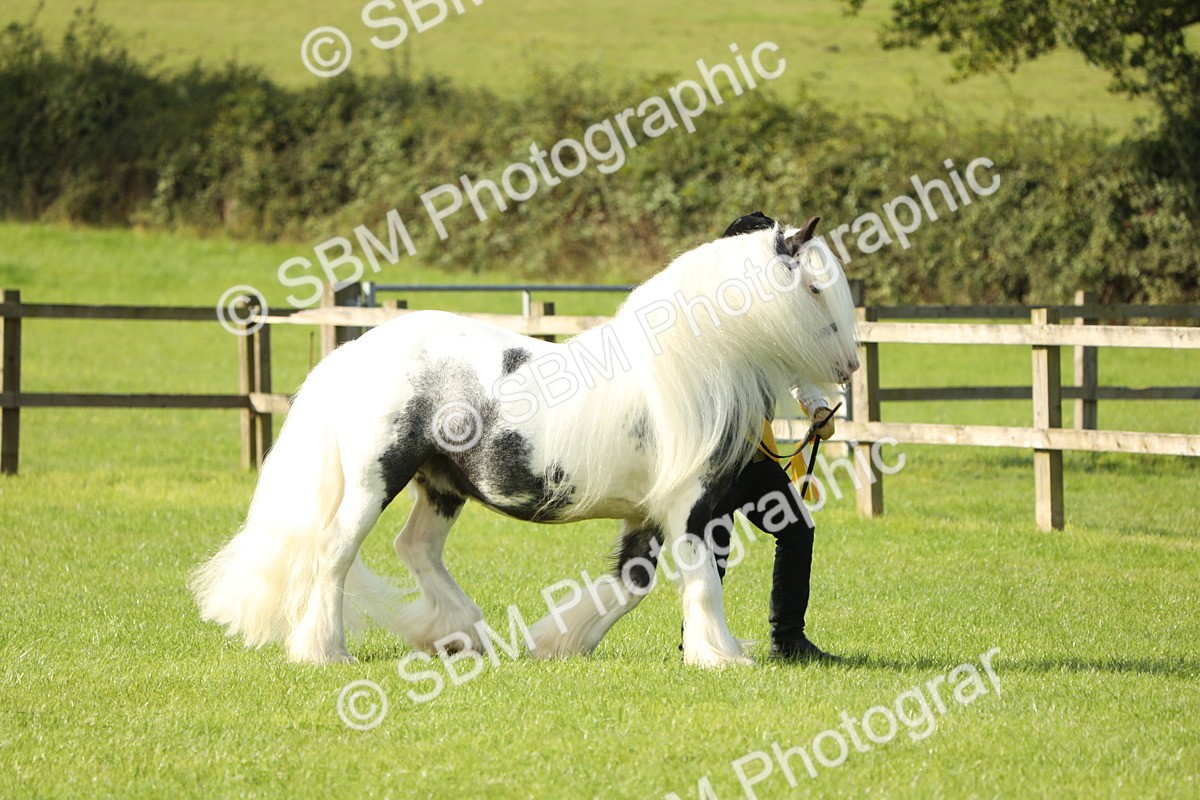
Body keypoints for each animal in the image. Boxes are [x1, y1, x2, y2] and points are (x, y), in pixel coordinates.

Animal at [190, 219, 860, 667]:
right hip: (375, 482)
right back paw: (327, 651)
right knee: (333, 552)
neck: (690, 368)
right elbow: (698, 580)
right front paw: (720, 656)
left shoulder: (651, 514)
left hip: (442, 485)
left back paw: (461, 635)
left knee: (416, 549)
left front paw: (558, 642)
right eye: (814, 289)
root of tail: (355, 352)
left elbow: (631, 580)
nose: (850, 366)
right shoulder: (688, 508)